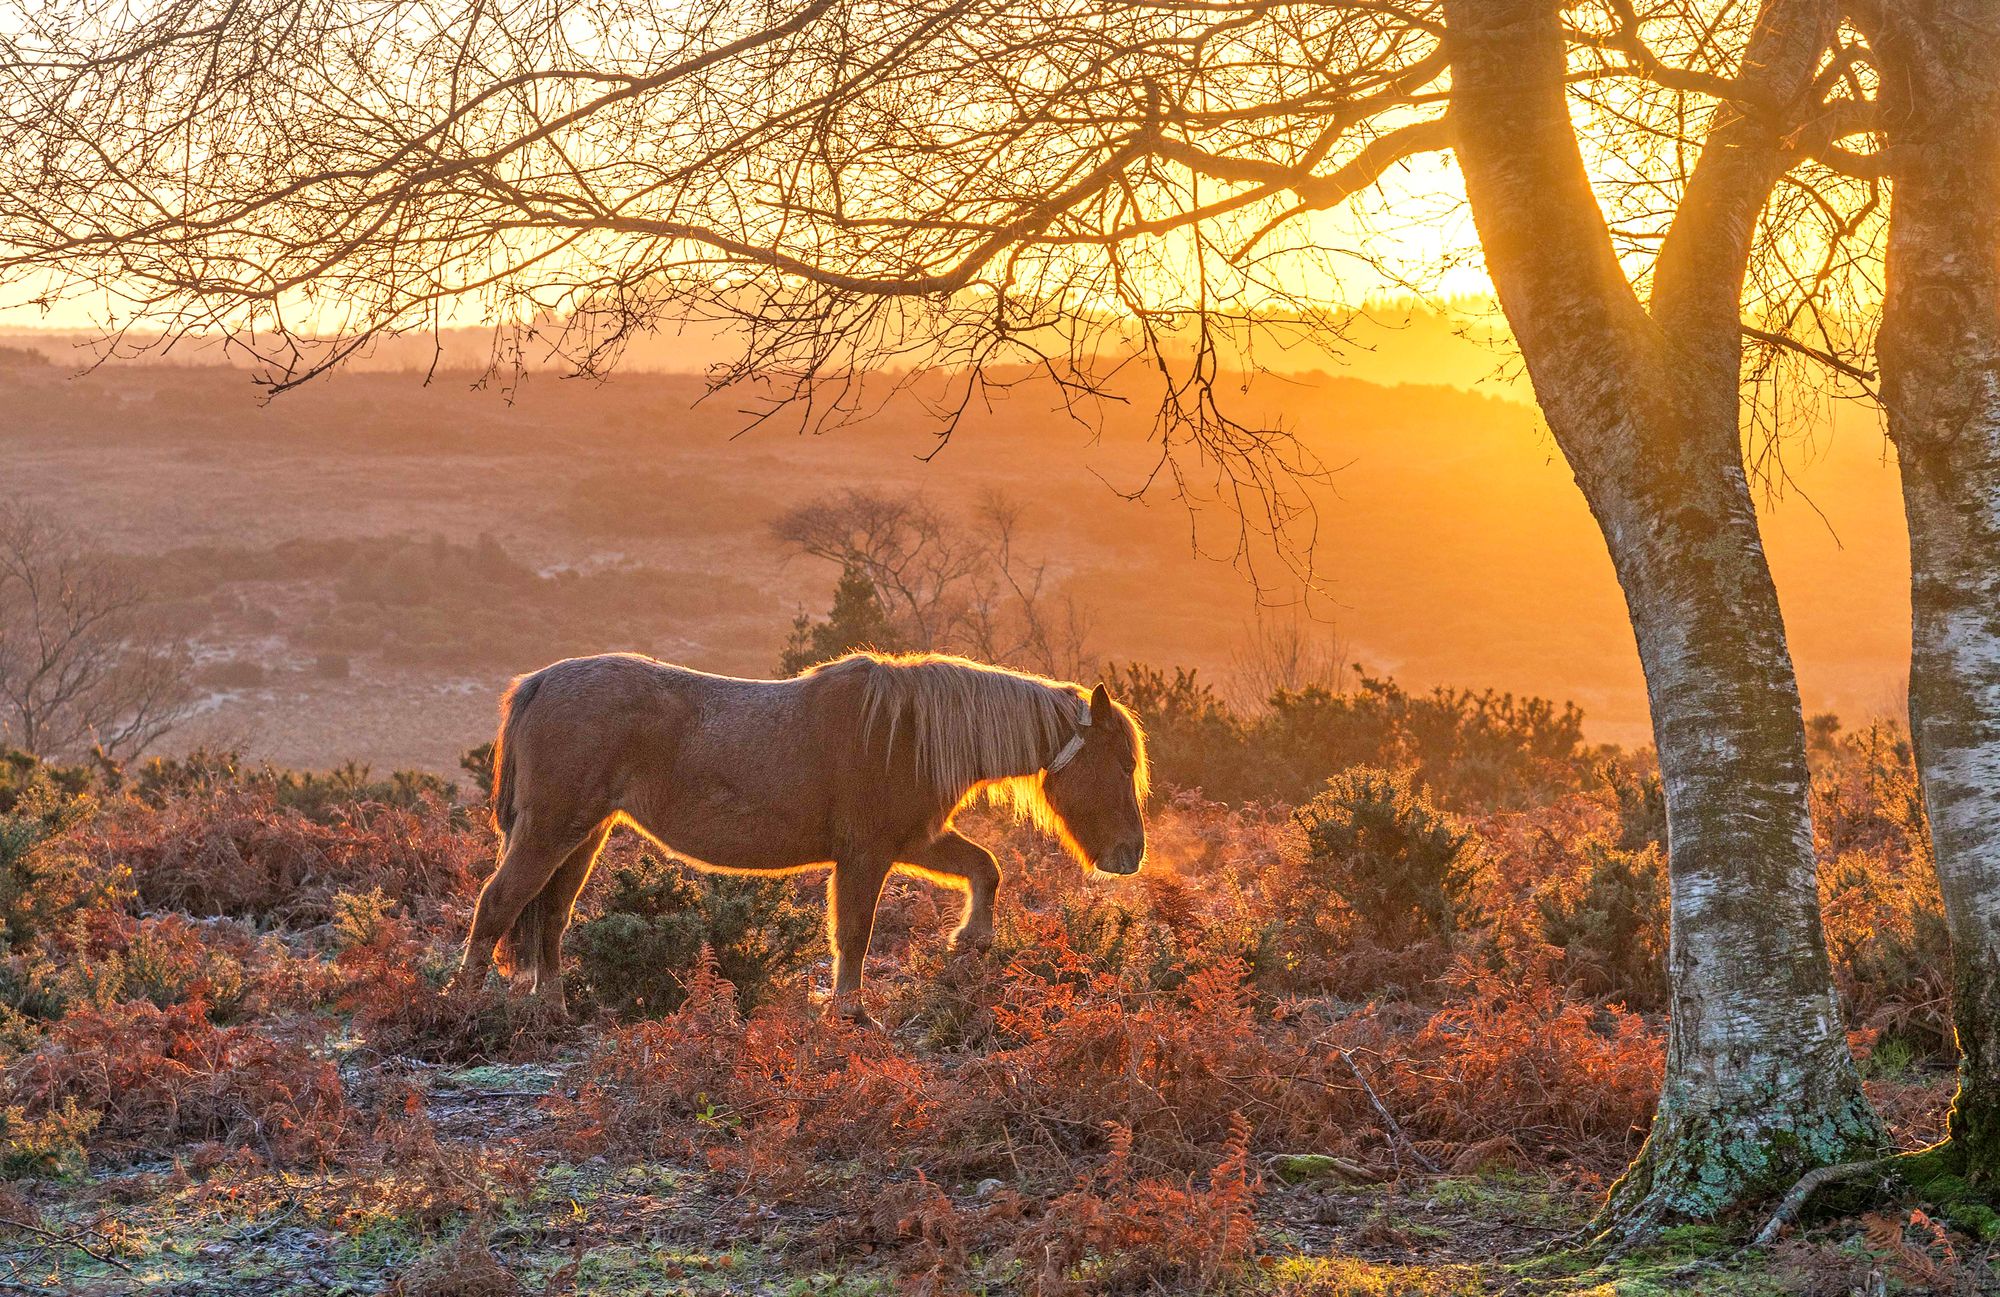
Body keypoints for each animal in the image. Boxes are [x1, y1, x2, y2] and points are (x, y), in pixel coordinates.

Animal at [455, 650, 1150, 1019]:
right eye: (1122, 763)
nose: (1131, 855)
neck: (905, 732)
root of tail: (540, 682)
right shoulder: (868, 854)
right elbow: (854, 932)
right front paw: (850, 1012)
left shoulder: (915, 841)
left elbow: (986, 868)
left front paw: (971, 941)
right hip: (550, 830)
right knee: (498, 904)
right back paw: (458, 1007)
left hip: (583, 835)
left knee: (549, 915)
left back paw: (552, 1009)